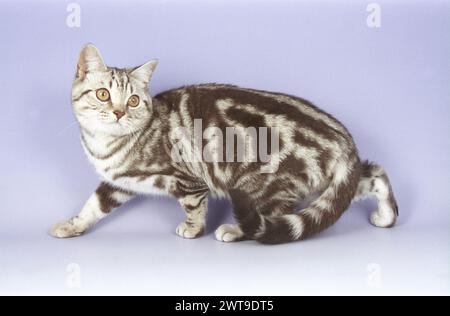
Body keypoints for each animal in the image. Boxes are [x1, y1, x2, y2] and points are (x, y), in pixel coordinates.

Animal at [51, 43, 400, 244]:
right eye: (103, 94)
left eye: (134, 100)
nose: (120, 112)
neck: (105, 146)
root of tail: (343, 139)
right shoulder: (118, 183)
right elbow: (93, 205)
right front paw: (73, 225)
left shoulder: (188, 179)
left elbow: (194, 206)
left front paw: (192, 229)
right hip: (330, 183)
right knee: (373, 175)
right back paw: (386, 216)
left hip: (260, 182)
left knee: (271, 217)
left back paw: (234, 230)